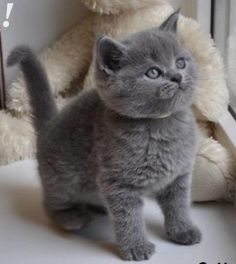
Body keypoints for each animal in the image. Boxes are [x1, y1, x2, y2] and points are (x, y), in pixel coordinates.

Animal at [8, 11, 202, 260]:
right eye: (153, 73)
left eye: (180, 62)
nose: (177, 76)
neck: (161, 124)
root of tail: (49, 126)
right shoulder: (118, 183)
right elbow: (129, 218)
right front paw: (136, 247)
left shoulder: (179, 175)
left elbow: (178, 206)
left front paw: (183, 230)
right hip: (63, 179)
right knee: (51, 204)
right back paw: (72, 217)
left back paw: (97, 205)